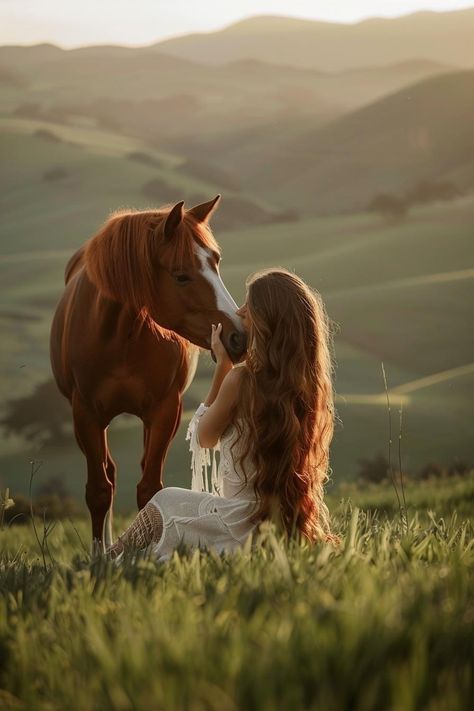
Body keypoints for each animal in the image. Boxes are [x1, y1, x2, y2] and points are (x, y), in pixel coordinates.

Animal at [50, 196, 246, 556]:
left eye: (216, 263)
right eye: (181, 276)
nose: (239, 336)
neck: (120, 336)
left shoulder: (164, 410)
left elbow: (150, 487)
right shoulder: (85, 413)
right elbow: (99, 490)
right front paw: (98, 557)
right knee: (109, 476)